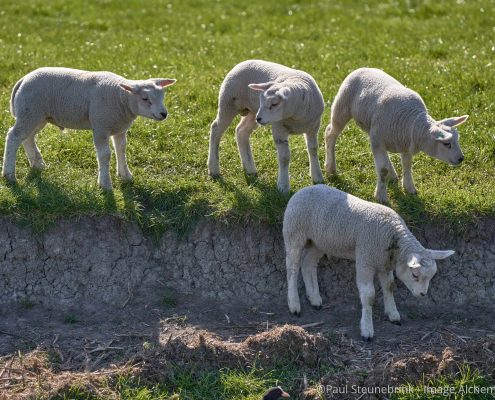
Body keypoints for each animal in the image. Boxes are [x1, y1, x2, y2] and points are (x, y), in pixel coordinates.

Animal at [1, 67, 176, 189]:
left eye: (162, 96)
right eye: (145, 98)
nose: (164, 114)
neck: (120, 97)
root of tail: (23, 79)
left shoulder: (119, 128)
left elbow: (121, 150)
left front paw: (126, 176)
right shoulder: (100, 126)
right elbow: (105, 155)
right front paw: (105, 184)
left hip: (38, 116)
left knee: (27, 138)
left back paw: (38, 165)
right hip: (30, 112)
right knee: (13, 137)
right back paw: (9, 175)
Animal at [208, 58, 328, 194]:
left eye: (274, 103)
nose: (259, 118)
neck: (296, 115)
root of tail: (241, 62)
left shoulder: (314, 126)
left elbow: (313, 149)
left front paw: (318, 178)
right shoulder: (278, 128)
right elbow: (284, 157)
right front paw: (283, 186)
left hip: (252, 111)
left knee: (241, 131)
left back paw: (250, 169)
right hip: (228, 103)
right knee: (216, 129)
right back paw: (213, 169)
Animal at [284, 185, 456, 340]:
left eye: (431, 276)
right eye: (415, 275)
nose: (422, 294)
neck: (393, 236)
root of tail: (302, 189)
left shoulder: (384, 263)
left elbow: (389, 286)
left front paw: (393, 314)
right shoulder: (365, 260)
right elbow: (369, 296)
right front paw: (367, 329)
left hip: (319, 242)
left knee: (308, 264)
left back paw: (314, 298)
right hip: (294, 232)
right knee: (292, 268)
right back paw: (294, 304)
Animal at [326, 67, 468, 203]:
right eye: (446, 143)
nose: (461, 158)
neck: (412, 123)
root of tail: (362, 68)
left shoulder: (405, 143)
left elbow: (407, 165)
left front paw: (409, 188)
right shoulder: (379, 140)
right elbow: (383, 170)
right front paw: (381, 197)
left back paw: (393, 175)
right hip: (342, 107)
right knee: (330, 133)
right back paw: (330, 167)